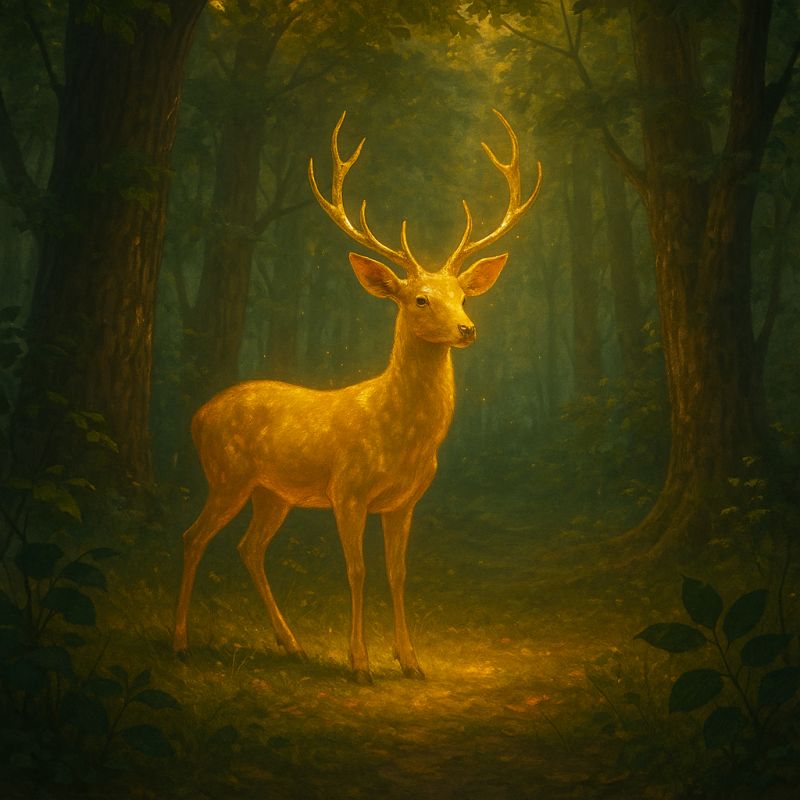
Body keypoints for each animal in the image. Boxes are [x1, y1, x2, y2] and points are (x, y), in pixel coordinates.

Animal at [173, 110, 542, 684]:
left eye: (462, 294)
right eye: (420, 299)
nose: (467, 328)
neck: (400, 435)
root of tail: (197, 414)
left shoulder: (404, 501)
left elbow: (397, 572)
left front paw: (410, 661)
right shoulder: (347, 491)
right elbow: (356, 570)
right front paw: (360, 664)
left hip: (272, 492)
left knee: (248, 548)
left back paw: (292, 645)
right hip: (227, 475)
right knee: (193, 538)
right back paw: (182, 643)